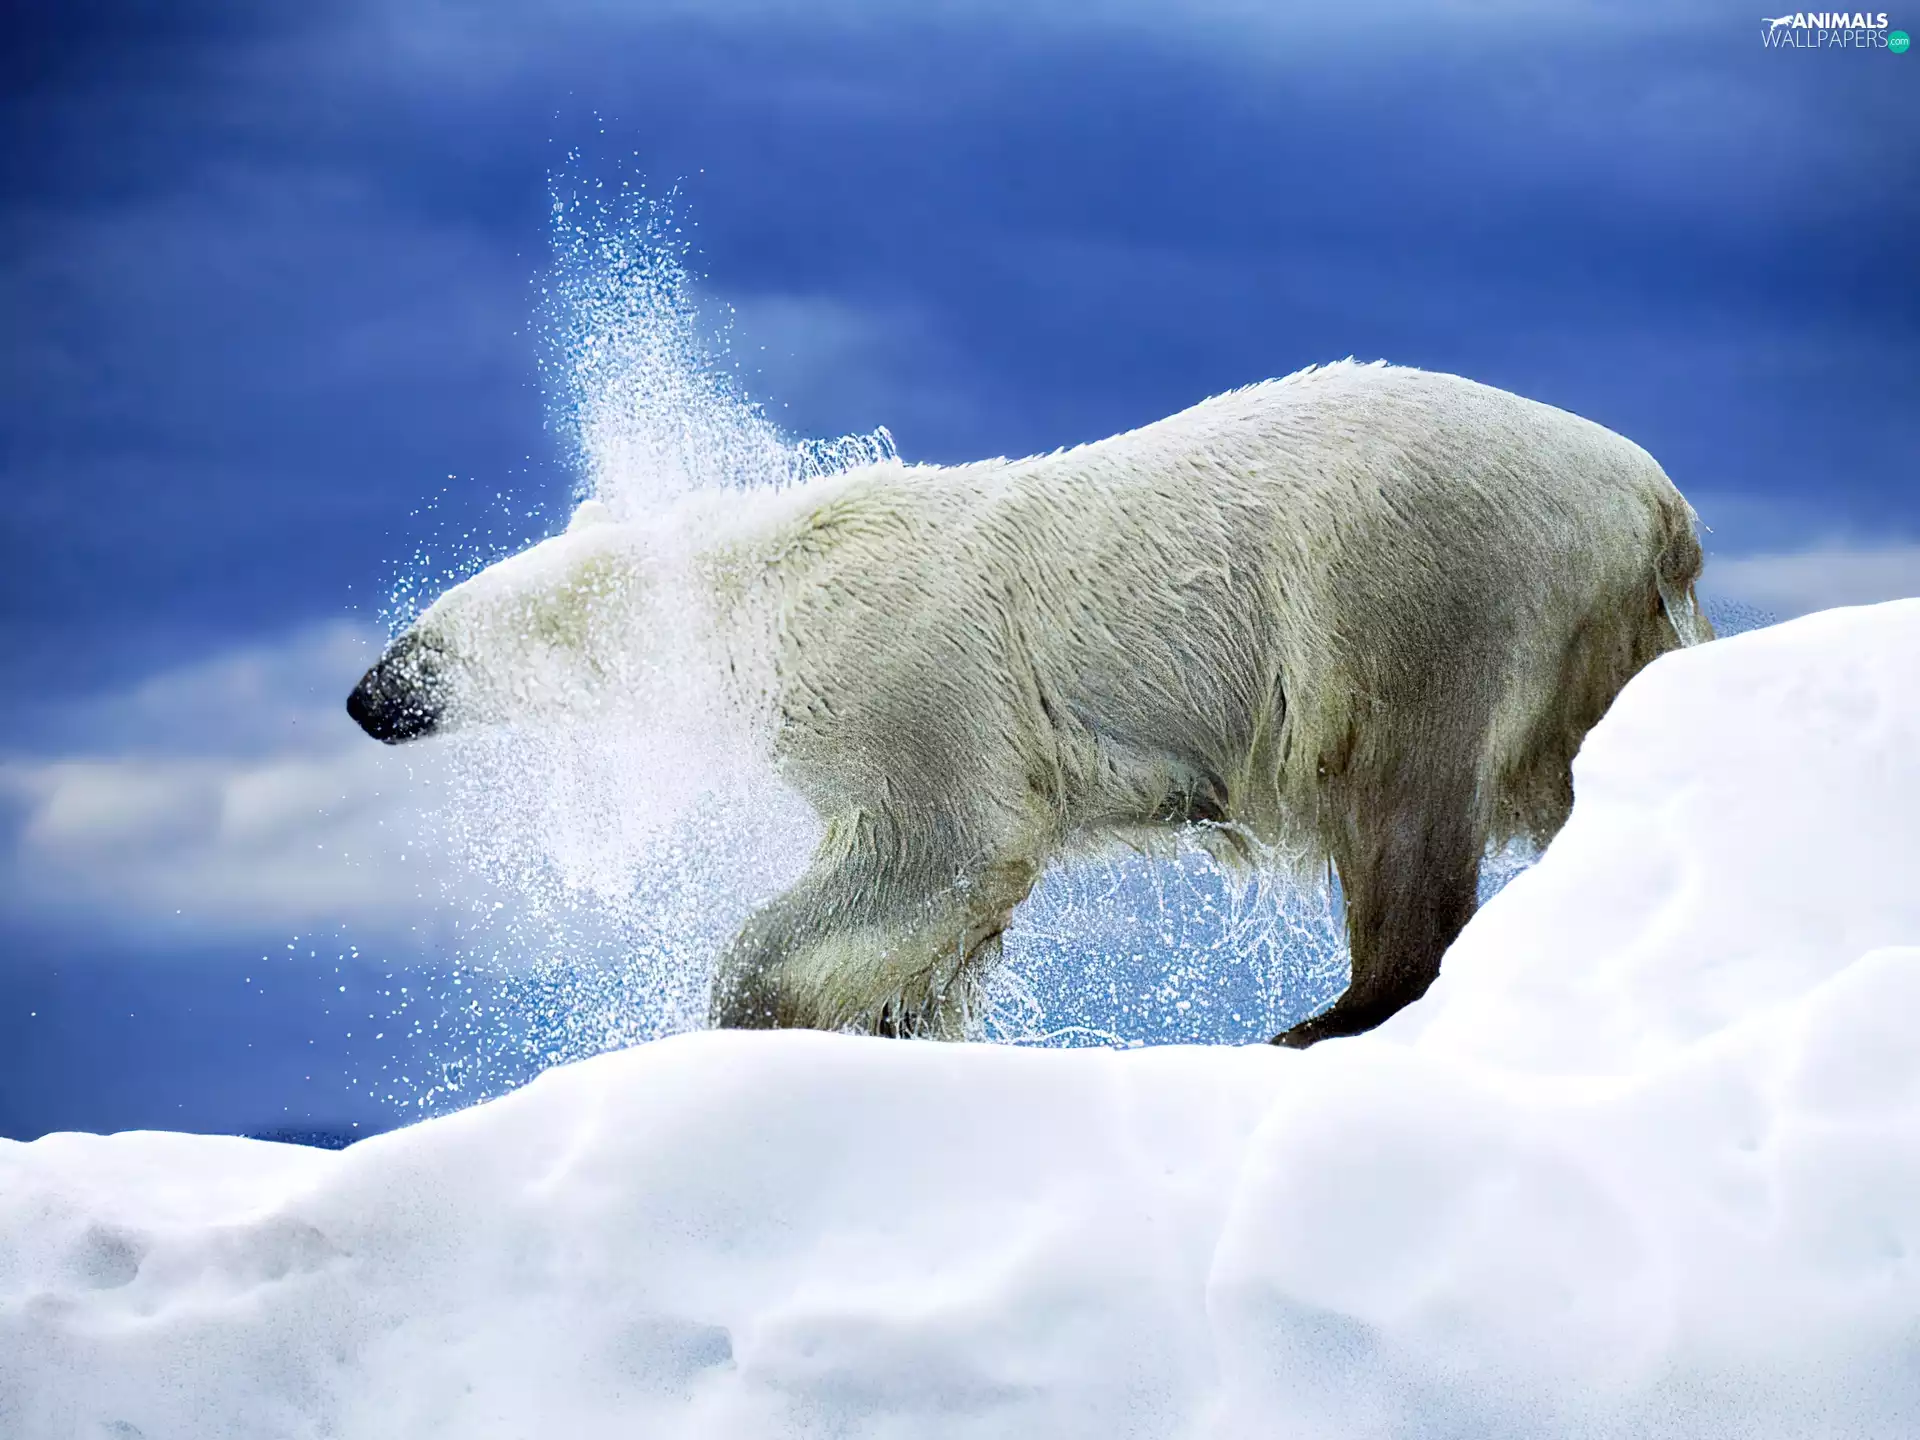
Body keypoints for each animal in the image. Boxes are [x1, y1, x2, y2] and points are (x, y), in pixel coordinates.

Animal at [348, 360, 1709, 1047]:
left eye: (432, 641)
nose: (364, 699)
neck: (761, 585)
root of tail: (1653, 498)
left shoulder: (904, 679)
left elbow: (937, 849)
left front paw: (754, 1011)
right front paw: (893, 1023)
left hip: (1412, 582)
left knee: (1399, 797)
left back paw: (1331, 1017)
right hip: (1592, 630)